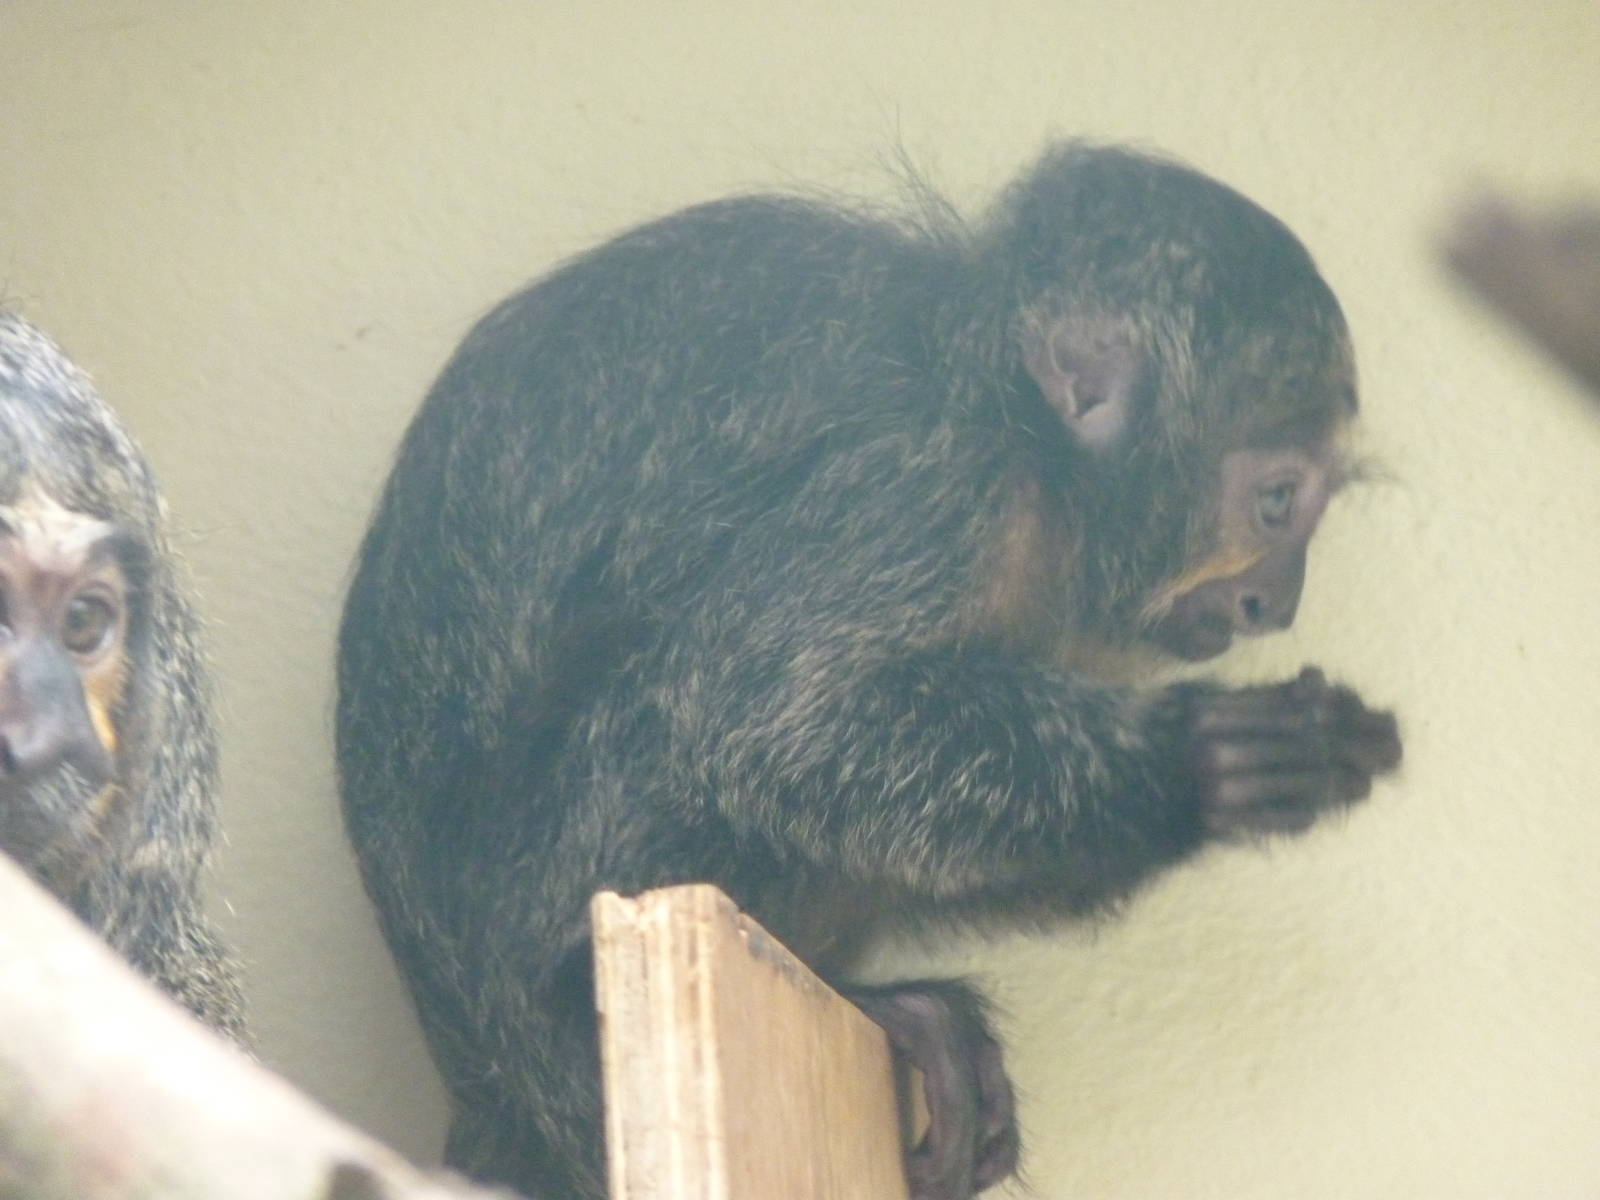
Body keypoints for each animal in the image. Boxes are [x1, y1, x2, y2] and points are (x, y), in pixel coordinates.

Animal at [336, 142, 1402, 1199]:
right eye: (1276, 502)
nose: (1278, 601)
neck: (1025, 444)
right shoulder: (924, 475)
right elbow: (767, 720)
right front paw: (1194, 767)